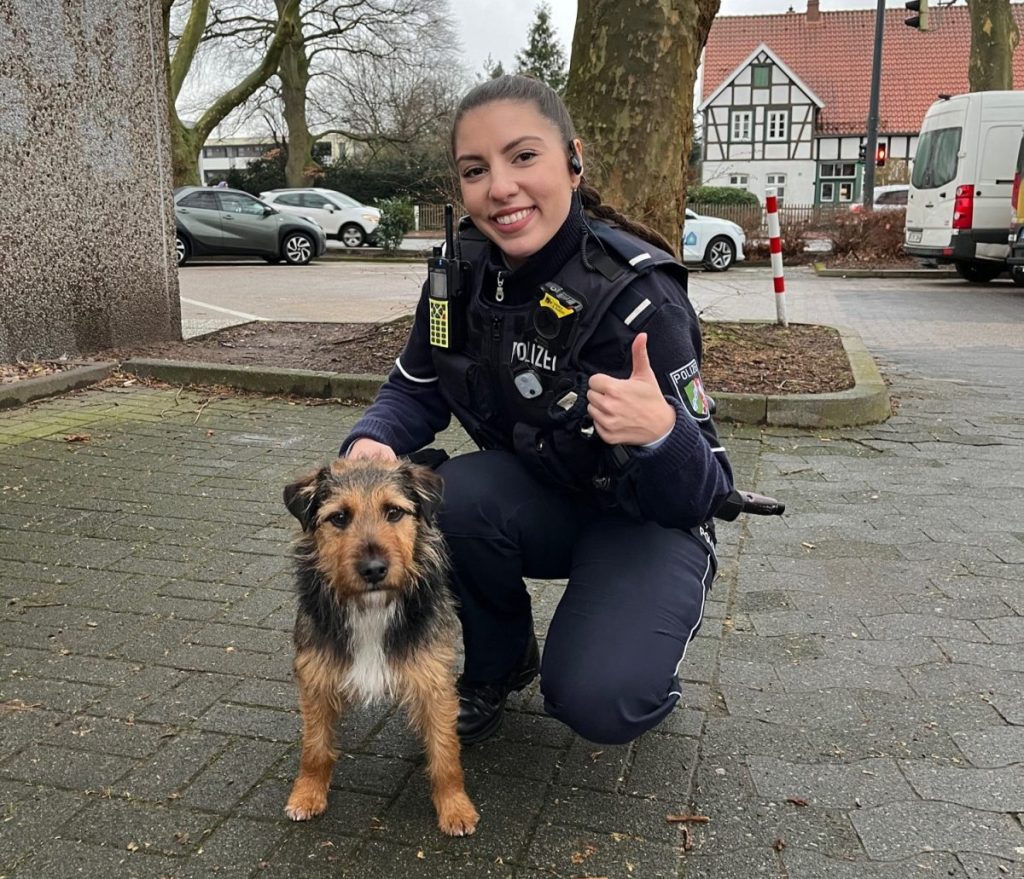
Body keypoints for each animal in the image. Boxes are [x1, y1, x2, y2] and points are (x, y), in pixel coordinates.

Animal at [282, 454, 477, 831]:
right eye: (339, 517)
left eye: (394, 511)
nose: (374, 569)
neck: (371, 609)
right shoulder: (315, 677)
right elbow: (315, 747)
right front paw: (307, 793)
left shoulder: (434, 681)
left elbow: (445, 752)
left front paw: (455, 806)